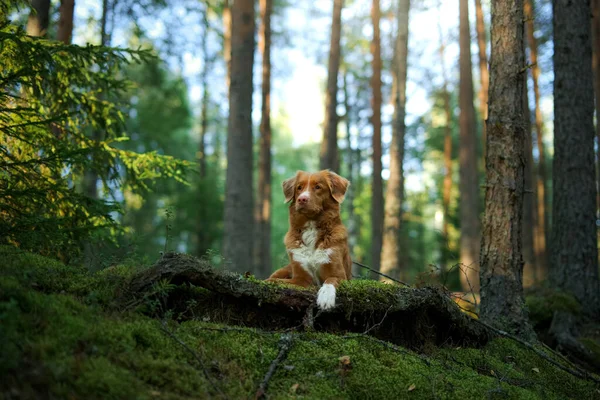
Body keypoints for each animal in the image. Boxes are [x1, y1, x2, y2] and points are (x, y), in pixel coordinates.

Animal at [266, 169, 352, 310]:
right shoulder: (301, 279)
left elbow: (330, 280)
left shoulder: (339, 274)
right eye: (299, 188)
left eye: (318, 187)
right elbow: (275, 281)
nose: (302, 199)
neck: (311, 225)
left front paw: (325, 297)